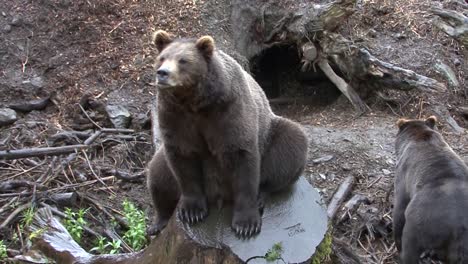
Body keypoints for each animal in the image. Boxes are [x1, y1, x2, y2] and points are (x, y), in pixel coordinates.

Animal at [144, 29, 308, 238]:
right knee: (158, 175)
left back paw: (263, 193)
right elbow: (183, 159)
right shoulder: (175, 116)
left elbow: (242, 158)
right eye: (162, 58)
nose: (163, 73)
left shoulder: (229, 111)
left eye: (183, 60)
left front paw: (246, 224)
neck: (195, 102)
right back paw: (159, 222)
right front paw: (192, 211)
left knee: (292, 144)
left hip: (272, 135)